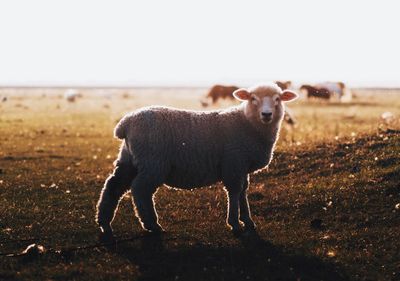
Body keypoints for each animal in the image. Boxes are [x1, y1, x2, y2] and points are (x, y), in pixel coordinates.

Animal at [96, 82, 296, 240]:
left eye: (278, 99)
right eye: (253, 98)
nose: (266, 114)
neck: (247, 122)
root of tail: (125, 123)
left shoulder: (241, 166)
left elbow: (243, 191)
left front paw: (247, 221)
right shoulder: (234, 162)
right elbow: (234, 191)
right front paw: (235, 223)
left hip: (129, 160)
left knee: (114, 186)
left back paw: (105, 224)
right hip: (153, 162)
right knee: (140, 190)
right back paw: (152, 225)